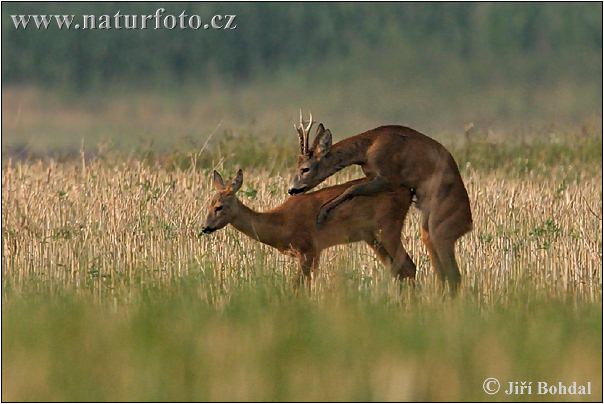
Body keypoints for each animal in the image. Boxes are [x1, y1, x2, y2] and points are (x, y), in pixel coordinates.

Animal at [203, 169, 416, 288]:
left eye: (219, 206)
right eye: (208, 204)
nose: (205, 227)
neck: (281, 223)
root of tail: (408, 191)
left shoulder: (307, 248)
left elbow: (298, 286)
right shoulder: (314, 252)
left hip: (388, 226)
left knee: (409, 267)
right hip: (372, 237)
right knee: (398, 271)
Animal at [288, 112, 472, 296]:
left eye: (305, 168)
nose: (291, 189)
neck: (367, 149)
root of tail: (468, 224)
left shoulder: (388, 177)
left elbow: (352, 188)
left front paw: (322, 214)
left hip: (441, 228)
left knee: (453, 275)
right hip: (427, 230)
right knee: (442, 274)